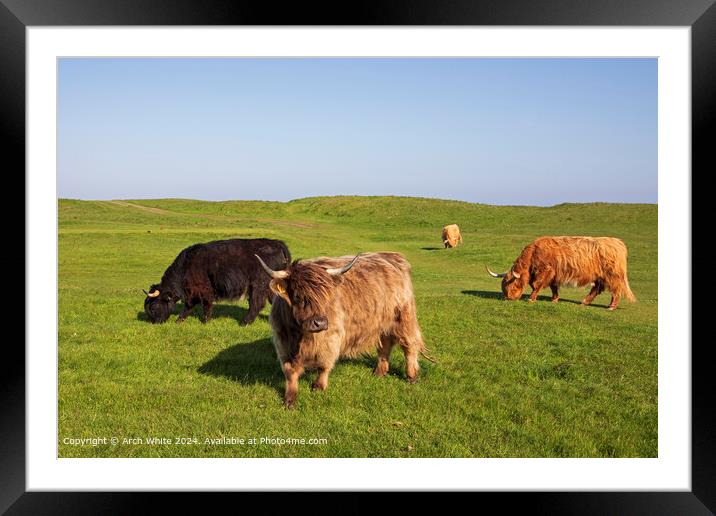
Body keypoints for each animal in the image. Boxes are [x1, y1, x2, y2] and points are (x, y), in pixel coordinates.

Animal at [144, 237, 290, 324]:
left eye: (153, 306)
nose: (154, 323)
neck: (186, 265)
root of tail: (277, 243)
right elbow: (189, 306)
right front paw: (179, 320)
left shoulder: (203, 290)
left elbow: (204, 305)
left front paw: (205, 321)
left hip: (258, 285)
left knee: (256, 303)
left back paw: (244, 322)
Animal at [255, 252, 430, 410]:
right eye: (298, 296)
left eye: (326, 295)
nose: (320, 322)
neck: (299, 336)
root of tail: (393, 256)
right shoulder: (282, 341)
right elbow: (290, 372)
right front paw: (289, 400)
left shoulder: (330, 339)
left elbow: (324, 365)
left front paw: (318, 387)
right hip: (381, 322)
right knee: (385, 345)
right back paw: (379, 372)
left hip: (404, 317)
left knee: (409, 345)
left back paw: (412, 376)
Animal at [486, 237, 636, 310]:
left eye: (514, 285)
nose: (509, 298)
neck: (534, 253)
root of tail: (618, 243)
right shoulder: (553, 274)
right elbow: (553, 287)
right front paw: (554, 299)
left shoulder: (546, 270)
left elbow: (536, 285)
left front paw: (531, 298)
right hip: (599, 277)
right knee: (596, 289)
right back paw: (584, 302)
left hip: (613, 275)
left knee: (616, 290)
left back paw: (611, 307)